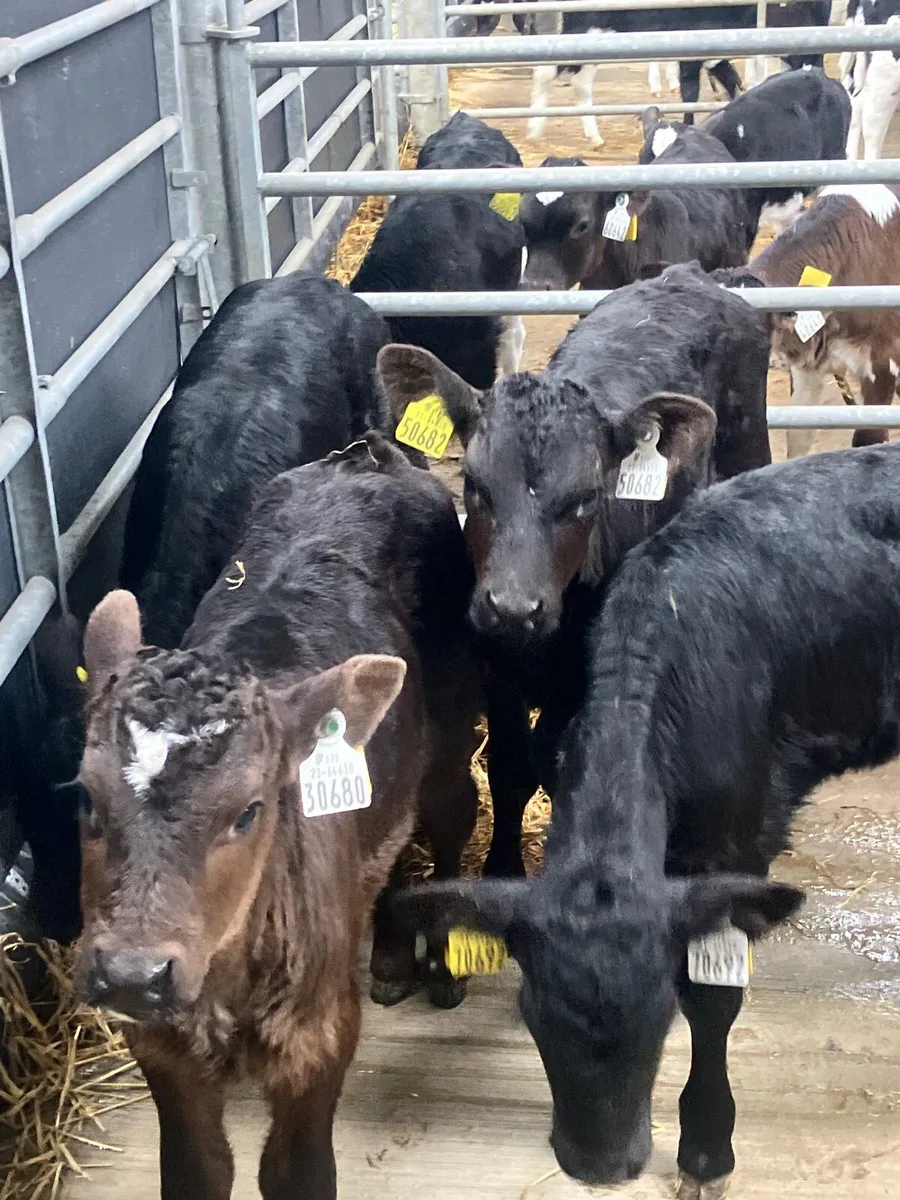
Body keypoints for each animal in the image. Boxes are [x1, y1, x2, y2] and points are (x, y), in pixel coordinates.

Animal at [74, 432, 481, 1200]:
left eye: (250, 810)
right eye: (86, 796)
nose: (133, 974)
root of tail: (367, 454)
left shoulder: (318, 1041)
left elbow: (295, 1175)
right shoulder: (163, 1054)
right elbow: (200, 1173)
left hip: (452, 722)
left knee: (451, 813)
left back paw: (439, 964)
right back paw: (388, 957)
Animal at [377, 261, 771, 877]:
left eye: (587, 498)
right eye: (474, 484)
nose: (514, 606)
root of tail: (696, 276)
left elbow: (556, 761)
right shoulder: (495, 665)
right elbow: (511, 767)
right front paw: (503, 867)